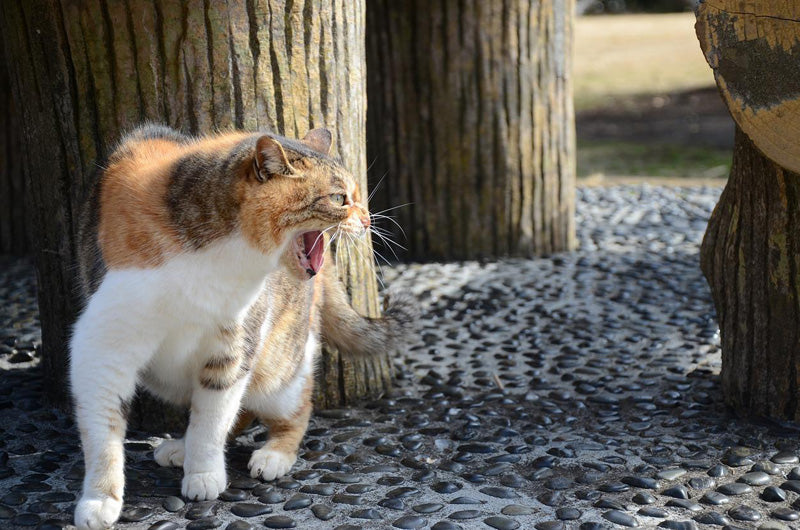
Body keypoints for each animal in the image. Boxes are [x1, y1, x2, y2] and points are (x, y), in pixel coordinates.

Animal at [70, 125, 412, 528]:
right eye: (339, 198)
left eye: (355, 196)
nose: (369, 220)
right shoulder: (104, 347)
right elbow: (103, 431)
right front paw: (99, 499)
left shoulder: (233, 345)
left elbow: (213, 419)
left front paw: (204, 474)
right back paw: (181, 447)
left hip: (280, 365)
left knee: (293, 409)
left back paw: (273, 454)